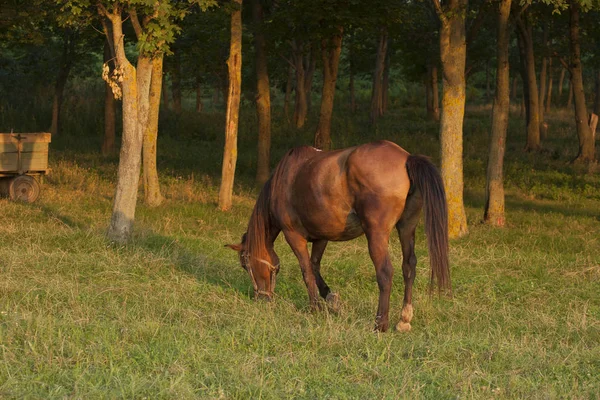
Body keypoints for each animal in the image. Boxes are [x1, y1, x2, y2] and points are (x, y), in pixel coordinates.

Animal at [226, 141, 450, 332]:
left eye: (246, 265)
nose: (261, 298)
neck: (285, 179)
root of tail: (406, 158)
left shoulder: (293, 235)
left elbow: (306, 271)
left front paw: (315, 307)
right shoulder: (321, 237)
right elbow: (315, 267)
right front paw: (332, 300)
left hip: (376, 234)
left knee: (385, 272)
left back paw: (380, 324)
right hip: (406, 227)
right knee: (408, 266)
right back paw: (404, 319)